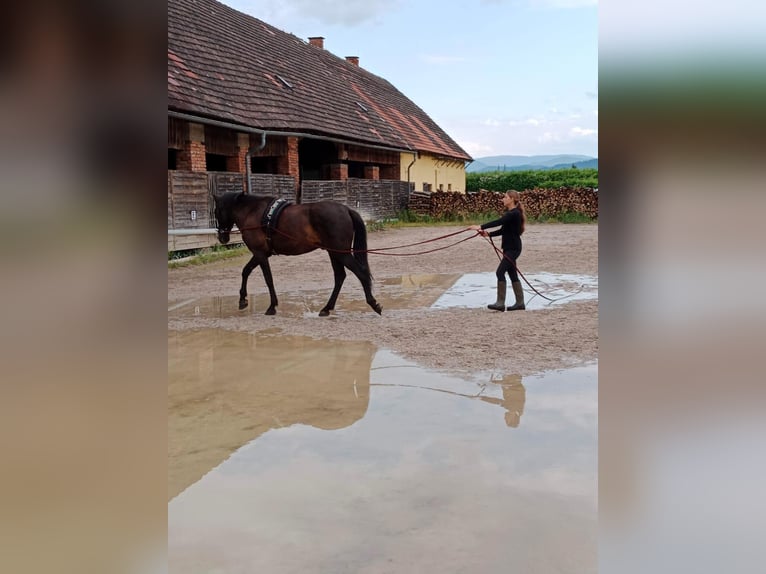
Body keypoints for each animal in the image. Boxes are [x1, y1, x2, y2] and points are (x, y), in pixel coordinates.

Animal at [213, 191, 382, 317]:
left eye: (217, 211)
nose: (222, 237)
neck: (253, 212)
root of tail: (346, 209)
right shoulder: (261, 254)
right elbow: (246, 271)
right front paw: (243, 300)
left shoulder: (260, 253)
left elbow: (268, 279)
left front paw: (271, 306)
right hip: (334, 253)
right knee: (340, 277)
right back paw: (327, 308)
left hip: (341, 253)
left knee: (360, 272)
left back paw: (373, 303)